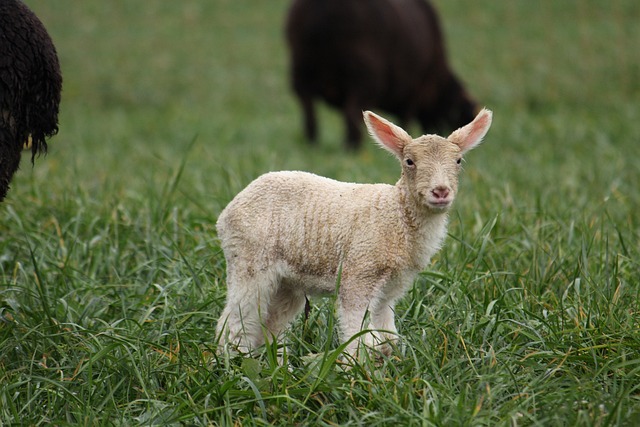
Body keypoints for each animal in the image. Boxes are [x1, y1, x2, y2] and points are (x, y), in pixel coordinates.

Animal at [215, 108, 490, 358]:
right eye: (409, 162)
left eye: (458, 161)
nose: (441, 191)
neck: (396, 214)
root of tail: (229, 209)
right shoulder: (358, 273)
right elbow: (357, 333)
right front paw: (355, 368)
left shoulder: (392, 287)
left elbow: (387, 335)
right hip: (250, 261)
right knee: (235, 321)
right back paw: (231, 363)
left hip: (286, 283)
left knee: (269, 325)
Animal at [288, 0, 478, 150]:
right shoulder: (413, 92)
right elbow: (405, 120)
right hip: (364, 75)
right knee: (350, 114)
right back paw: (352, 148)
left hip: (301, 70)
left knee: (309, 113)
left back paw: (312, 144)